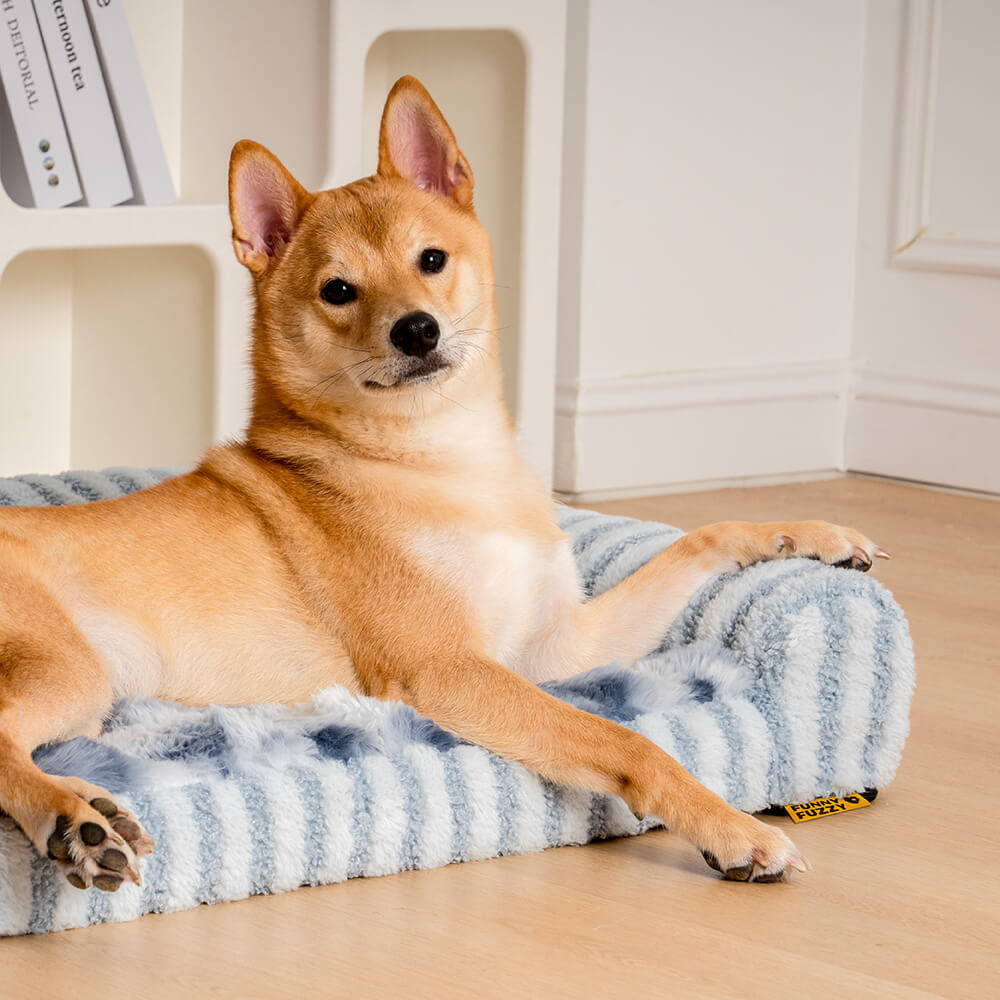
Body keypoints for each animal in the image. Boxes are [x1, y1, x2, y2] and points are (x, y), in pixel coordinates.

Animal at [0, 76, 884, 892]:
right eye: (338, 291)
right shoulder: (452, 670)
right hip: (73, 670)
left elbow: (702, 538)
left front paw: (810, 538)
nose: (417, 330)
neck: (445, 459)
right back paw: (73, 818)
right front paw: (733, 828)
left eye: (432, 260)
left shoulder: (554, 648)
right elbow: (627, 739)